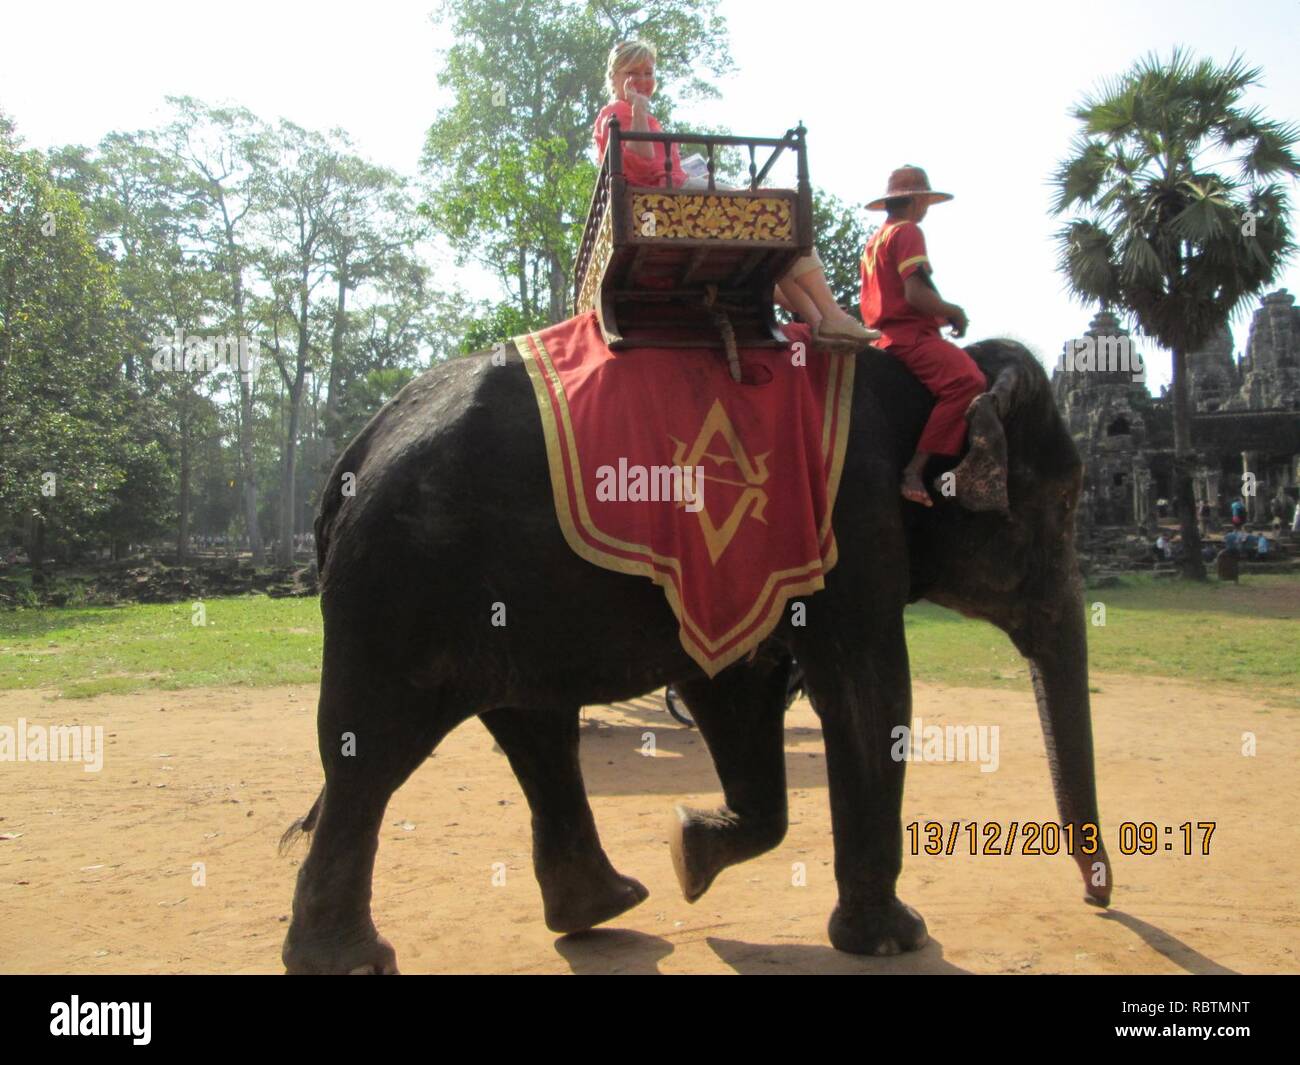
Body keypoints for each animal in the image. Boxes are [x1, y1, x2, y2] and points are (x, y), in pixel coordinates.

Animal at [279, 333, 1112, 974]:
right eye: (1067, 501)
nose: (1099, 899)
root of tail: (353, 452)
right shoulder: (850, 522)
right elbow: (868, 689)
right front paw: (894, 940)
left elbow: (736, 686)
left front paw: (688, 849)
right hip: (403, 587)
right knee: (372, 753)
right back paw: (351, 961)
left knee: (534, 731)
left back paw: (607, 904)